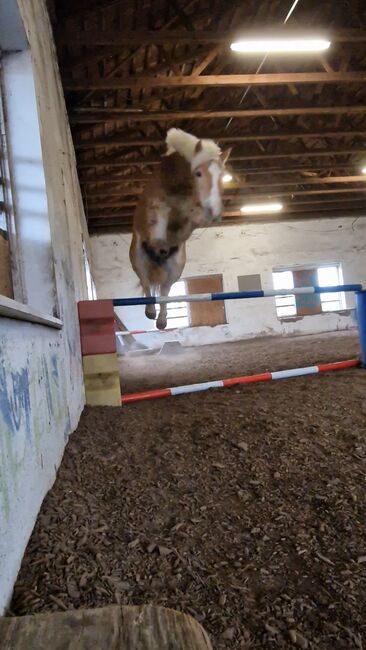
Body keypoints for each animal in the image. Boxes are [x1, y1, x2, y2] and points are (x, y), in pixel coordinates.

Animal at [130, 126, 230, 330]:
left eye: (222, 176)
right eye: (198, 173)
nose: (214, 212)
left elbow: (188, 223)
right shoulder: (152, 209)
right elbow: (159, 214)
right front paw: (159, 239)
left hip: (175, 268)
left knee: (165, 291)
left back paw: (161, 321)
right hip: (138, 259)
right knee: (146, 283)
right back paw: (150, 311)